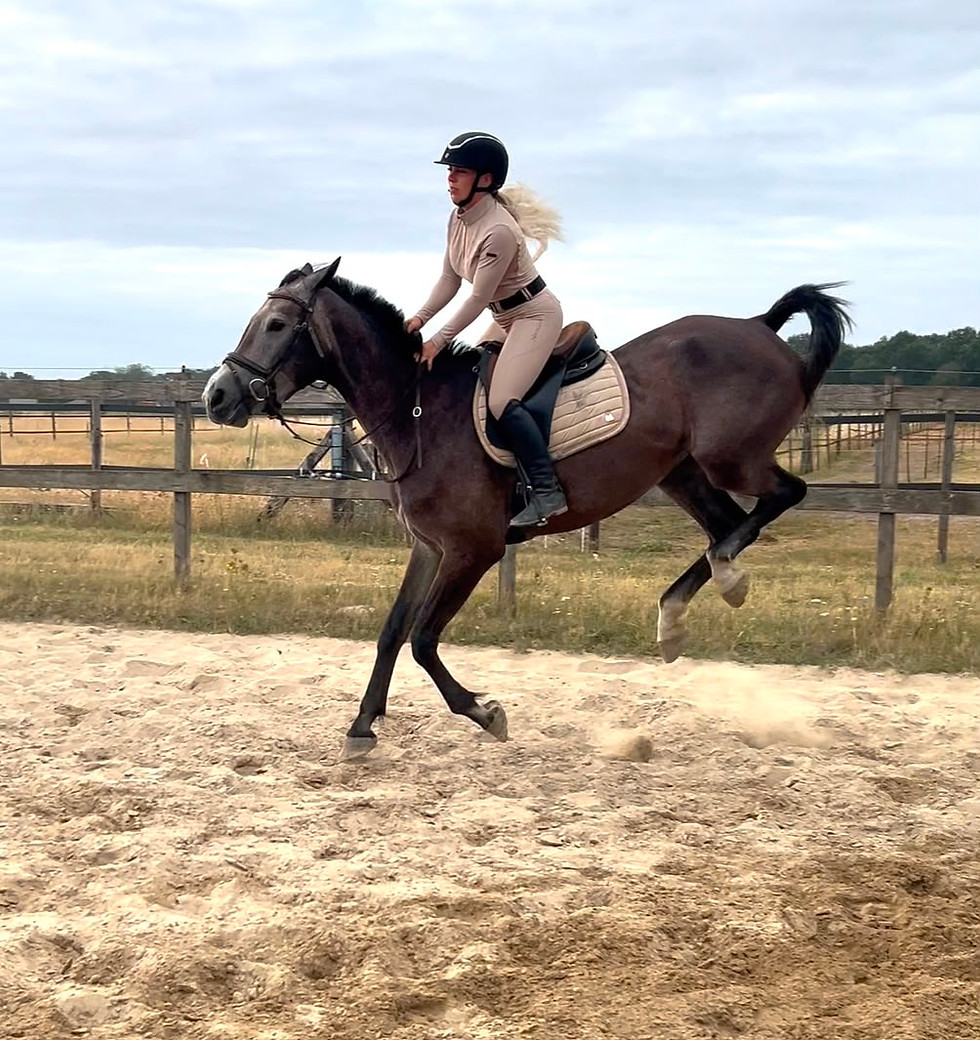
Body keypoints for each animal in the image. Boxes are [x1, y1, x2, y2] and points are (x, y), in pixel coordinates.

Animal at [203, 259, 851, 758]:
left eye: (277, 324)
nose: (217, 396)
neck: (420, 411)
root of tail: (758, 326)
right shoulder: (430, 547)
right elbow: (392, 632)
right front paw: (362, 729)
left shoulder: (474, 551)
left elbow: (423, 639)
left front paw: (484, 713)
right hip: (682, 473)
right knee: (726, 524)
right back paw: (681, 612)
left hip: (730, 459)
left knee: (780, 497)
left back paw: (723, 579)